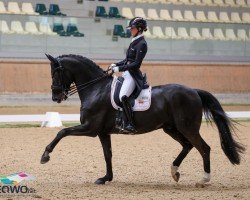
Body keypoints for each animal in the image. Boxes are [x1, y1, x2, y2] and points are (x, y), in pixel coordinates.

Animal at [40, 54, 244, 188]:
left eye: (55, 72)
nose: (55, 96)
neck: (96, 88)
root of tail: (194, 91)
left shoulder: (90, 128)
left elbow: (62, 132)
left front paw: (45, 156)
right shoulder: (102, 132)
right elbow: (108, 154)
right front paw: (106, 178)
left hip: (187, 128)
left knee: (204, 148)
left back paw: (203, 180)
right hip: (171, 128)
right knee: (188, 146)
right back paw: (174, 171)